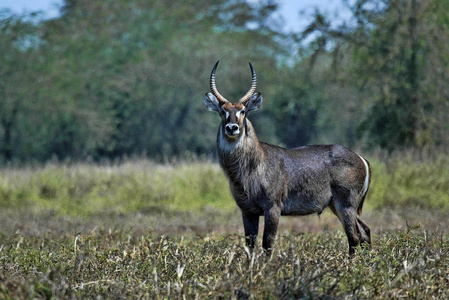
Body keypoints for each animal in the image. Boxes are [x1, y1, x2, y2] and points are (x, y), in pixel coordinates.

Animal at [204, 60, 372, 255]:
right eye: (222, 111)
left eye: (243, 111)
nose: (232, 128)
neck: (253, 166)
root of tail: (361, 159)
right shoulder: (247, 211)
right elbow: (250, 246)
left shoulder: (273, 207)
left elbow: (267, 244)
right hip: (337, 205)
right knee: (365, 231)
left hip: (346, 204)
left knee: (354, 238)